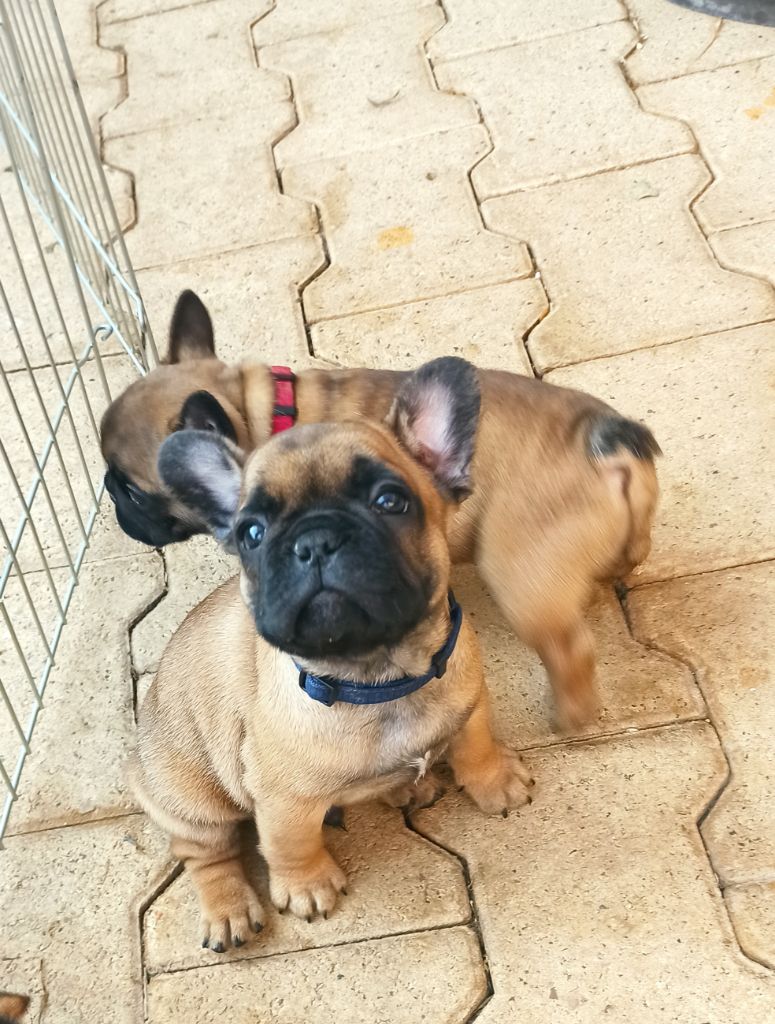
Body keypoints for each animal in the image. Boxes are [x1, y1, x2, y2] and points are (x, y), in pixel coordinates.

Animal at [102, 291, 660, 726]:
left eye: (134, 491)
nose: (109, 493)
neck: (264, 412)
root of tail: (602, 437)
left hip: (523, 577)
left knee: (569, 648)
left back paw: (570, 716)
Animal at [132, 358, 533, 951]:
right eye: (252, 532)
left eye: (390, 501)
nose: (315, 540)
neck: (382, 676)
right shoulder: (283, 800)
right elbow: (290, 844)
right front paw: (307, 886)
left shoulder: (470, 701)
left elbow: (476, 744)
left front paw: (494, 782)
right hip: (193, 801)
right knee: (206, 854)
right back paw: (228, 909)